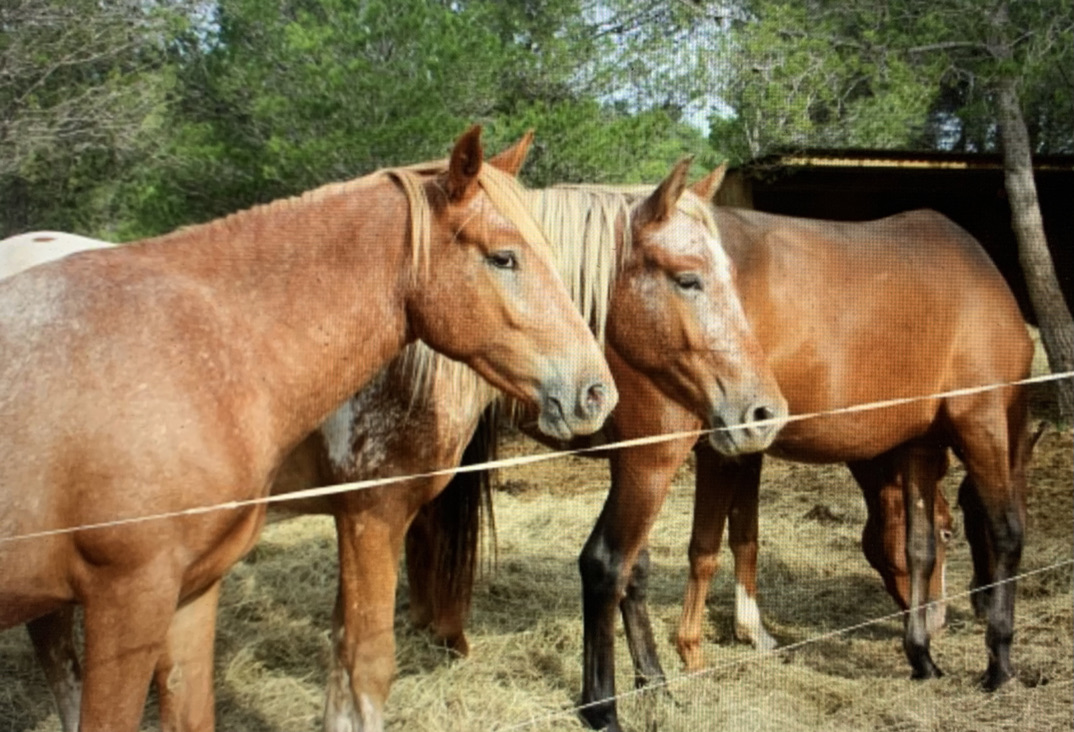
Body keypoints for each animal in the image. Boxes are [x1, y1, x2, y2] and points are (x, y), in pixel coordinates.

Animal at [408, 183, 1035, 731]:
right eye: (961, 535)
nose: (951, 616)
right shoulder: (978, 418)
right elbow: (1003, 530)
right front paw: (999, 658)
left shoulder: (899, 445)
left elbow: (772, 539)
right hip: (646, 459)